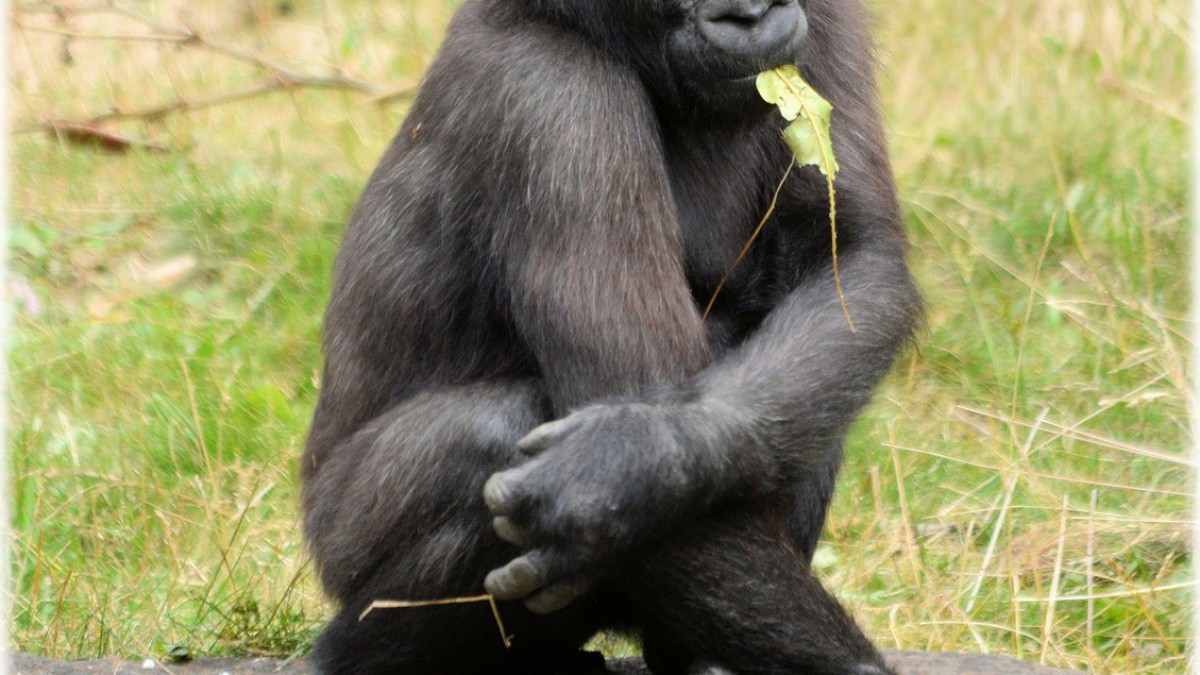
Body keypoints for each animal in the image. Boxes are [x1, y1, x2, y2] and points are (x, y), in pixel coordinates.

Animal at [300, 0, 916, 667]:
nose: (752, 14)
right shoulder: (551, 93)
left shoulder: (828, 15)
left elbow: (849, 261)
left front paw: (634, 459)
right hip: (337, 536)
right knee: (495, 431)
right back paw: (355, 652)